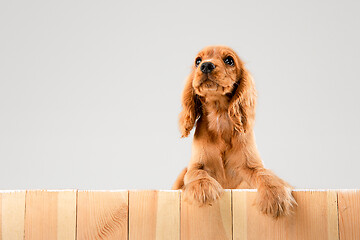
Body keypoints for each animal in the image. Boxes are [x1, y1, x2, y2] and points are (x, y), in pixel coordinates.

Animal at [174, 45, 296, 218]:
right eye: (198, 61)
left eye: (229, 60)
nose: (206, 65)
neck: (219, 115)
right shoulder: (196, 165)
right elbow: (197, 173)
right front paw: (203, 188)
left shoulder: (251, 166)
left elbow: (266, 175)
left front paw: (275, 196)